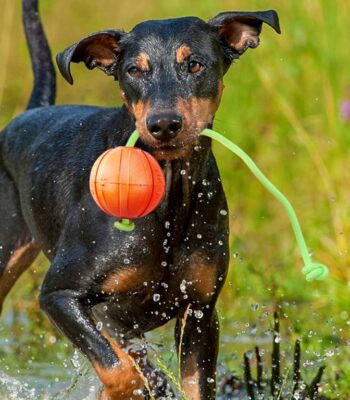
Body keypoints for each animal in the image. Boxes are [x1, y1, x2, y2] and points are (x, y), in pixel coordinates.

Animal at [0, 1, 278, 398]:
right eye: (133, 70)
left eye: (195, 64)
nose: (163, 124)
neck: (168, 192)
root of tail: (27, 113)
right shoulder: (61, 295)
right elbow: (122, 368)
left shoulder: (200, 311)